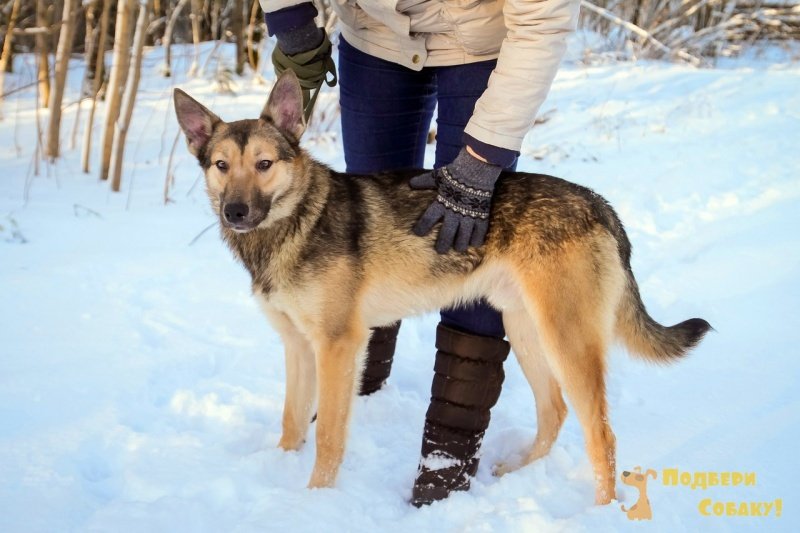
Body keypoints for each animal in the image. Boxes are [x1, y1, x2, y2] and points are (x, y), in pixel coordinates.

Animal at [175, 71, 712, 502]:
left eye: (264, 164)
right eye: (221, 166)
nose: (235, 212)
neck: (295, 222)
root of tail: (598, 203)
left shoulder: (337, 345)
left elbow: (327, 437)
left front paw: (314, 502)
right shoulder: (297, 345)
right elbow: (291, 422)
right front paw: (282, 473)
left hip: (567, 339)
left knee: (601, 435)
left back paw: (600, 510)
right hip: (525, 328)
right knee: (555, 410)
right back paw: (515, 471)